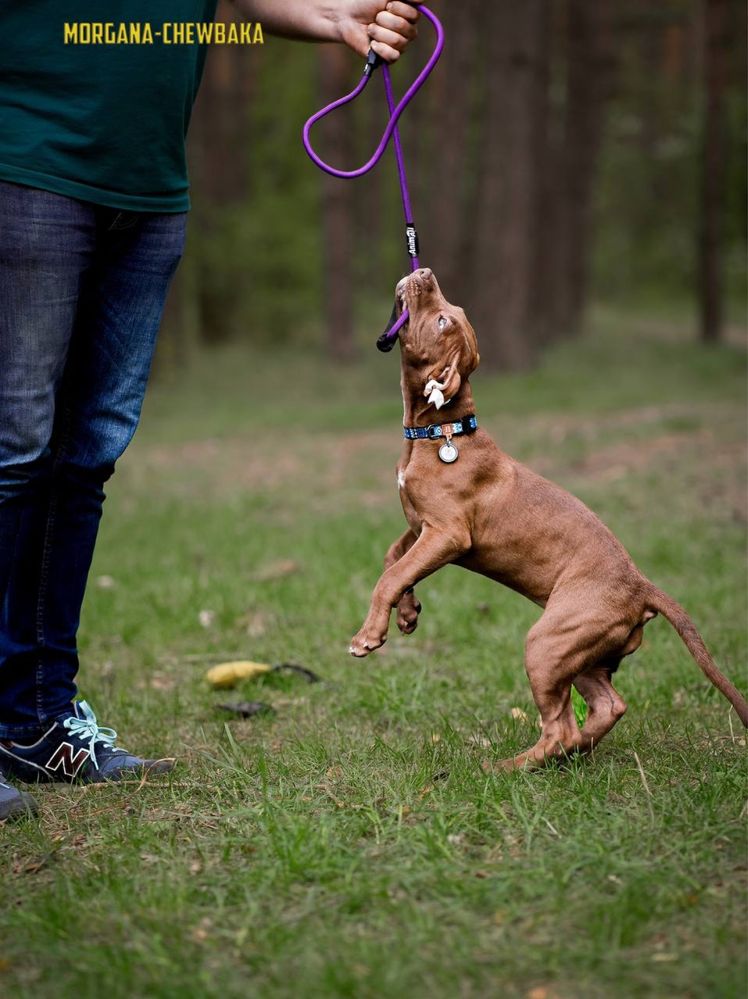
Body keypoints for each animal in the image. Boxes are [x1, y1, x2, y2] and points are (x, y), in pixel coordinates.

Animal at [350, 266, 748, 764]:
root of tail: (642, 588)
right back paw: (570, 754)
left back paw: (511, 766)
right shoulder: (420, 527)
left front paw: (367, 636)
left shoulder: (448, 535)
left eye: (443, 320)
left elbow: (390, 574)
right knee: (606, 706)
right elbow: (395, 561)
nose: (423, 270)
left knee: (559, 724)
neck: (441, 430)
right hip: (583, 653)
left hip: (547, 643)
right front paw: (406, 615)